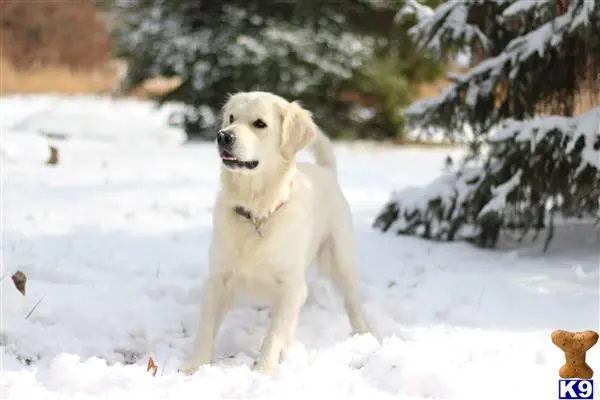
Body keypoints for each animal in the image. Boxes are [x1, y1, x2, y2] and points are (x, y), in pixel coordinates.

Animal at [188, 90, 370, 376]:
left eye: (259, 124)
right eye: (231, 118)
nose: (223, 136)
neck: (256, 212)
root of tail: (325, 171)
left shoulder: (291, 286)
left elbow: (274, 334)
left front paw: (263, 371)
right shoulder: (218, 280)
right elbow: (205, 330)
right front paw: (195, 369)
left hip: (340, 259)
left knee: (351, 302)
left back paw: (362, 335)